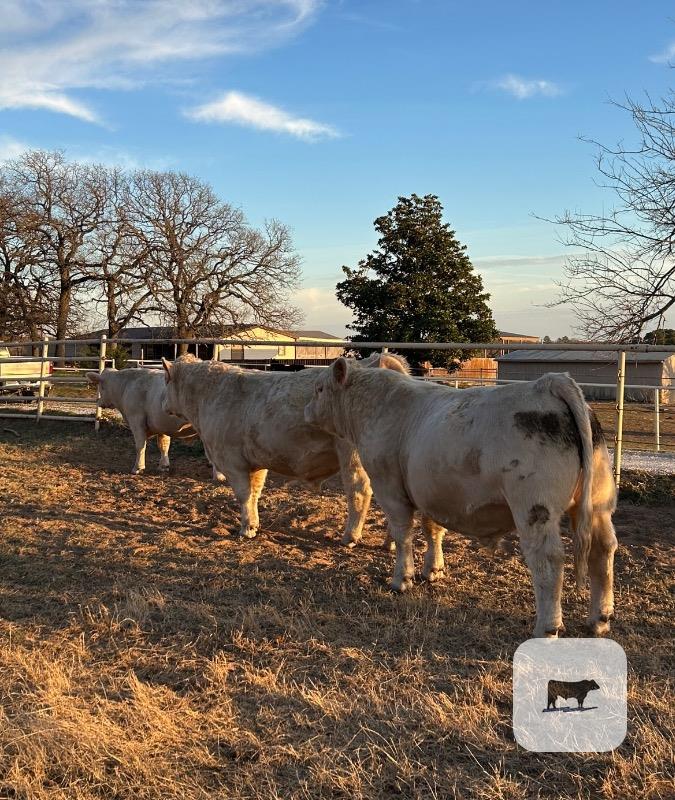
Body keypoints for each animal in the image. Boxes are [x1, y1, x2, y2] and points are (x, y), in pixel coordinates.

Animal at [86, 367, 224, 480]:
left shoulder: (136, 420)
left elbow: (140, 445)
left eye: (100, 386)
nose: (99, 401)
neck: (125, 386)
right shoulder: (162, 424)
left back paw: (219, 476)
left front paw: (138, 468)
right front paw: (164, 465)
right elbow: (164, 445)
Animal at [159, 353, 446, 557]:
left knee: (359, 493)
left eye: (165, 380)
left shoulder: (232, 460)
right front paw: (254, 522)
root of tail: (378, 361)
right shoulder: (256, 462)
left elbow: (243, 494)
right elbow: (255, 492)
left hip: (353, 457)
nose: (163, 404)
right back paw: (389, 542)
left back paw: (350, 537)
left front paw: (247, 528)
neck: (212, 393)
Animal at [303, 358, 618, 638]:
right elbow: (433, 529)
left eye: (319, 388)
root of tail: (549, 383)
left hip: (534, 507)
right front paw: (433, 569)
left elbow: (403, 535)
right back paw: (599, 619)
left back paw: (547, 628)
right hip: (598, 504)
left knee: (549, 559)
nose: (306, 410)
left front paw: (401, 580)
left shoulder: (389, 487)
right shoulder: (430, 490)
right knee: (603, 550)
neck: (378, 406)